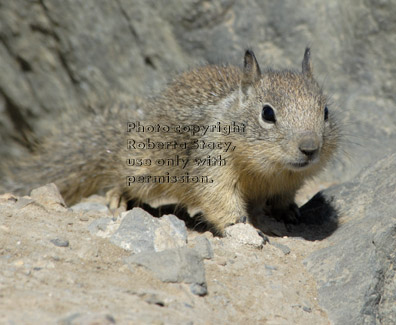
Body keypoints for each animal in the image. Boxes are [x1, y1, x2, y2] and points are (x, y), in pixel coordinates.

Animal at [2, 47, 338, 233]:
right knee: (120, 173)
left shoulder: (290, 182)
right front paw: (242, 228)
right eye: (267, 113)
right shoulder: (212, 163)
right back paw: (117, 196)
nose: (310, 148)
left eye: (325, 111)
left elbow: (283, 198)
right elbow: (219, 200)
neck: (269, 170)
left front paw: (288, 211)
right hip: (143, 168)